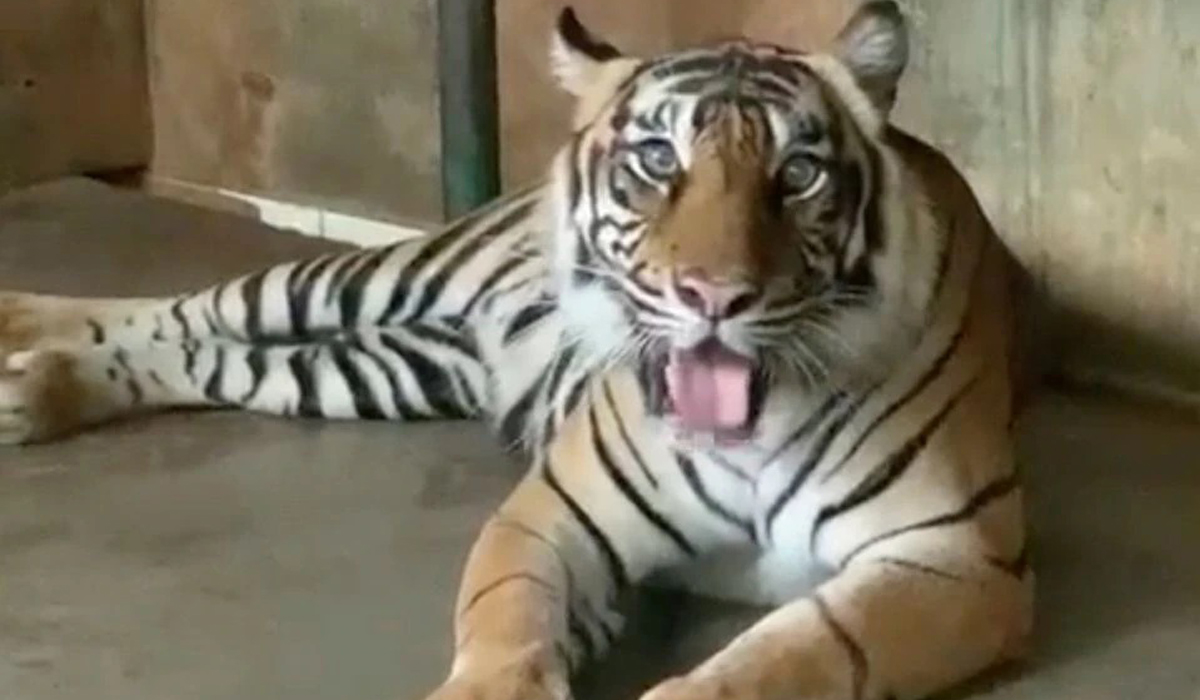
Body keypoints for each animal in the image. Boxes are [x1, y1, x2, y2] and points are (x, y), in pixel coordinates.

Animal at [0, 3, 1033, 699]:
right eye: (658, 161)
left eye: (800, 174)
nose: (712, 297)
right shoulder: (552, 513)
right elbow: (505, 614)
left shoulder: (953, 557)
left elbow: (796, 652)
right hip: (368, 278)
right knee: (187, 308)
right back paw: (20, 328)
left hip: (374, 369)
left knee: (203, 357)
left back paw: (36, 391)